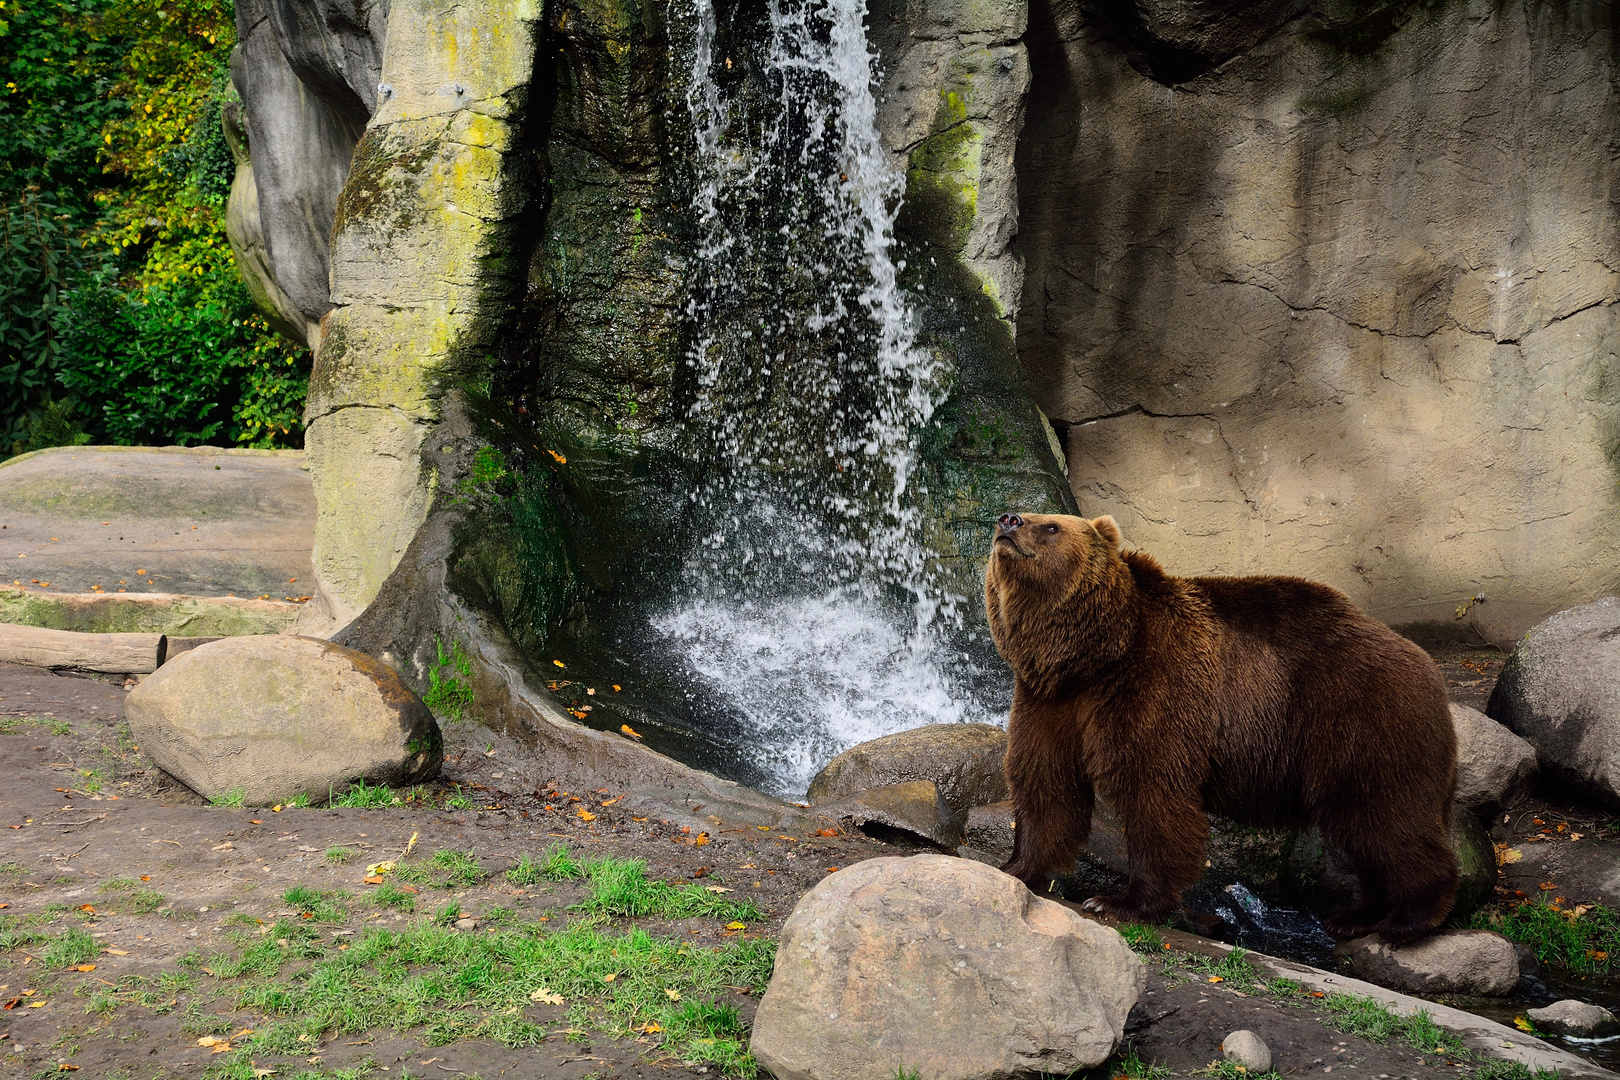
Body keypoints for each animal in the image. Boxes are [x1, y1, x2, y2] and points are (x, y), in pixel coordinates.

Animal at [978, 511, 1464, 939]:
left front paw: (1120, 901)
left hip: (1360, 716)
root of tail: (1428, 668)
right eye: (1026, 514)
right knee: (1365, 832)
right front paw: (1013, 866)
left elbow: (1152, 790)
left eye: (1052, 525)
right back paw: (1356, 916)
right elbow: (1045, 782)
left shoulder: (1155, 683)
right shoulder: (1049, 700)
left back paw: (1409, 919)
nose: (1007, 520)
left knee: (1385, 816)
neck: (1091, 656)